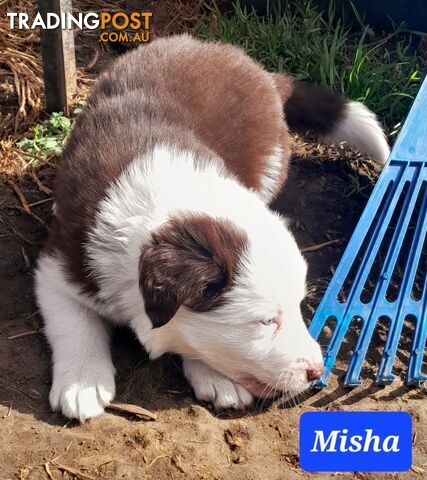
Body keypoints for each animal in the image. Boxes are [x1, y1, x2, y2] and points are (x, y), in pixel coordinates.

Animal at [36, 33, 392, 420]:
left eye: (299, 305)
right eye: (265, 321)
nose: (316, 371)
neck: (169, 195)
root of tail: (258, 70)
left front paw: (216, 377)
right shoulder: (60, 264)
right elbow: (74, 321)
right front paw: (82, 382)